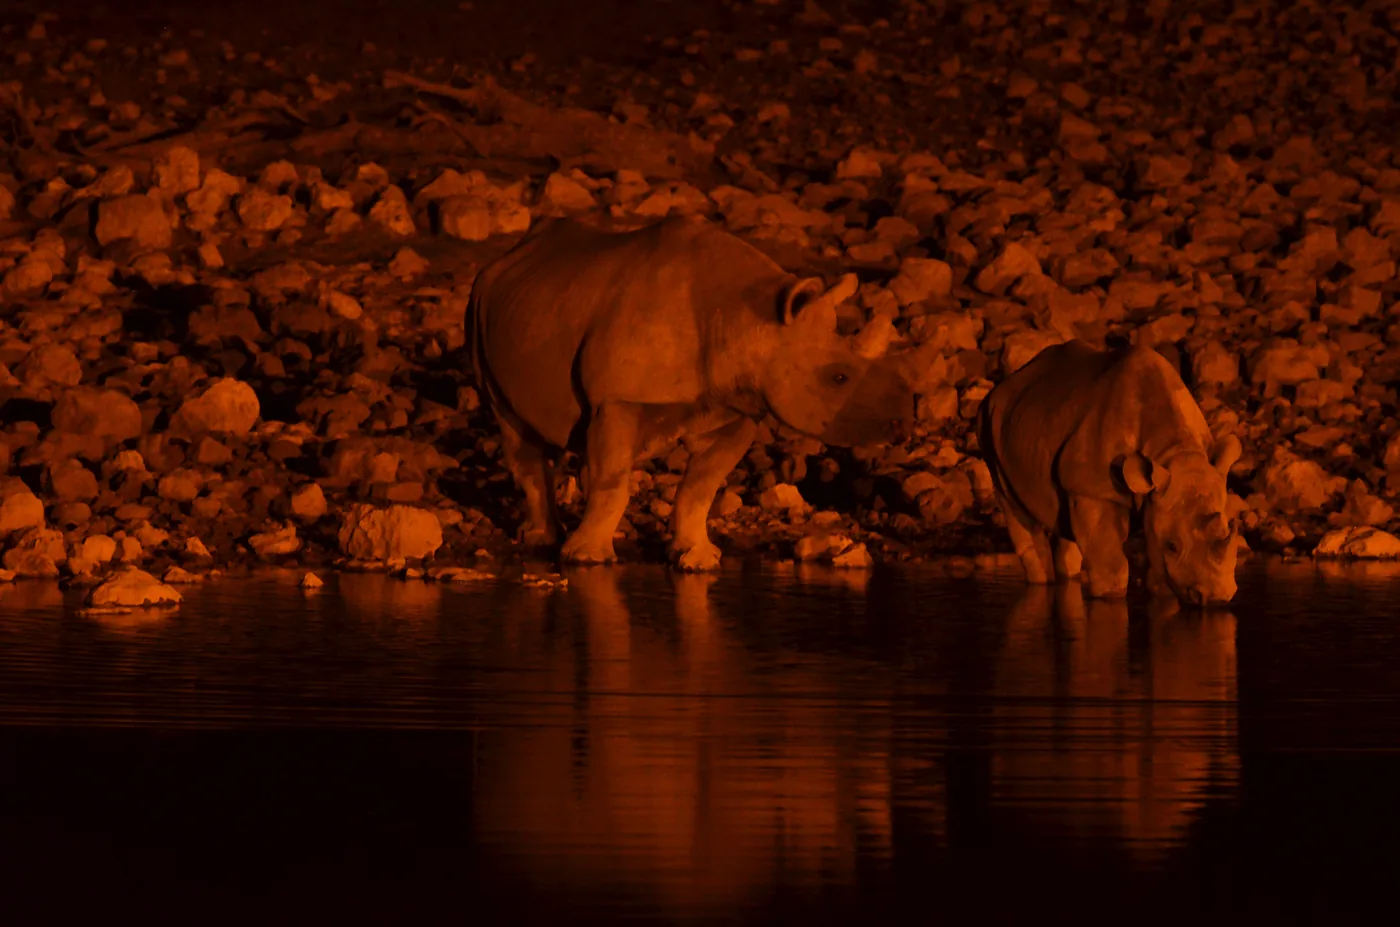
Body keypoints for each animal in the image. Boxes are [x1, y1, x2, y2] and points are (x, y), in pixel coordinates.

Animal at [470, 215, 914, 570]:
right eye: (838, 378)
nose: (901, 425)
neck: (752, 321)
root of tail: (510, 255)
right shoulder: (619, 399)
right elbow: (613, 482)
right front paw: (587, 559)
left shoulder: (738, 408)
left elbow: (700, 487)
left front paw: (698, 558)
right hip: (478, 302)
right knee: (511, 423)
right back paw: (544, 540)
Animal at [977, 340, 1242, 606]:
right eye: (1172, 547)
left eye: (1227, 530)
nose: (1217, 598)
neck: (1174, 452)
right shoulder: (1094, 490)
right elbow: (1111, 561)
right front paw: (1110, 596)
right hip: (989, 424)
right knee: (1015, 509)